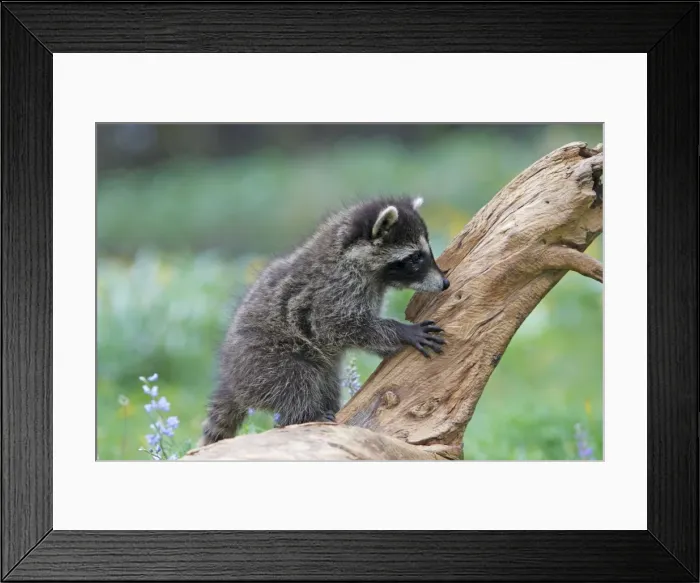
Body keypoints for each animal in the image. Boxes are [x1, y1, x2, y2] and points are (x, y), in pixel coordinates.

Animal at [200, 196, 450, 446]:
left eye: (426, 252)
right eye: (415, 257)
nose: (445, 283)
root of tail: (231, 381)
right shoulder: (332, 290)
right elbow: (341, 326)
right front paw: (401, 331)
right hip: (265, 360)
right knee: (295, 382)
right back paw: (305, 415)